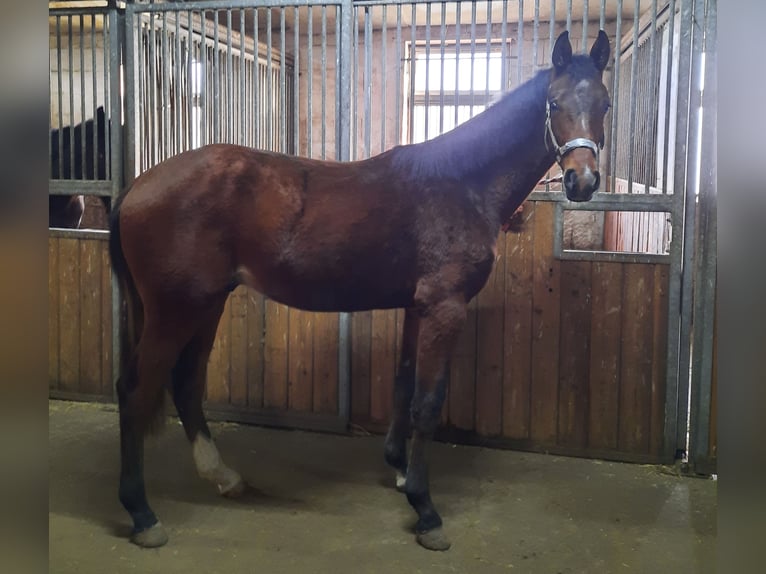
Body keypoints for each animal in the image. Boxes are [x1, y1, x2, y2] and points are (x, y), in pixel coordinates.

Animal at [108, 30, 611, 551]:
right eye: (553, 103)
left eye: (605, 104)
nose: (581, 181)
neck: (461, 183)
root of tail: (137, 186)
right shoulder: (445, 308)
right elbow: (427, 402)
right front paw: (425, 510)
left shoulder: (417, 307)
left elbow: (404, 384)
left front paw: (400, 471)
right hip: (175, 310)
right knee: (136, 390)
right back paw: (142, 513)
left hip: (205, 305)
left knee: (186, 383)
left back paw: (223, 477)